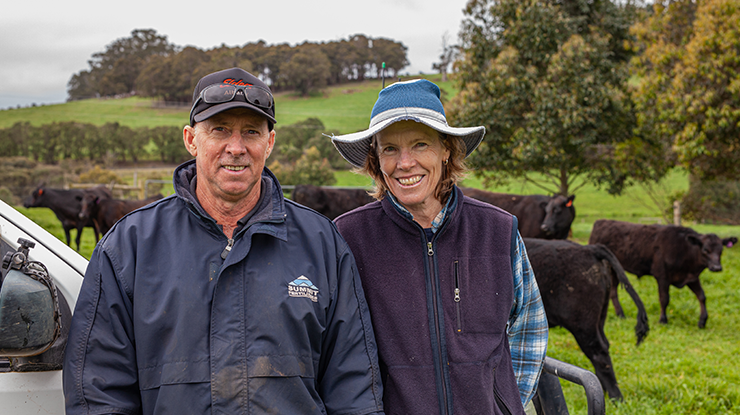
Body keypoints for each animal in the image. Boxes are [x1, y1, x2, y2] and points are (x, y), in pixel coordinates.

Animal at [588, 219, 736, 330]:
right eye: (705, 250)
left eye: (721, 250)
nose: (717, 267)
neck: (685, 250)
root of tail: (602, 222)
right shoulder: (662, 276)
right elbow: (664, 299)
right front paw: (663, 320)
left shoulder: (692, 278)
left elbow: (702, 296)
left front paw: (702, 321)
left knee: (612, 290)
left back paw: (620, 314)